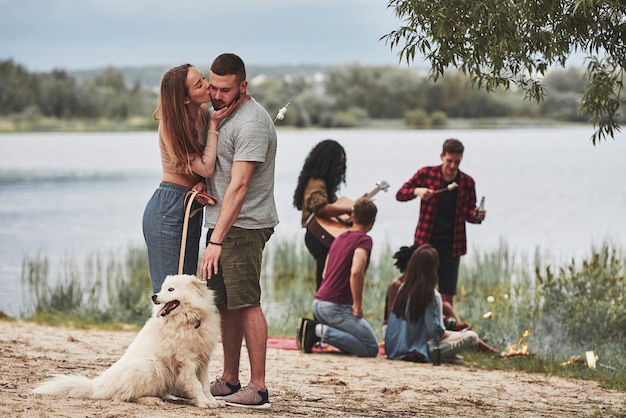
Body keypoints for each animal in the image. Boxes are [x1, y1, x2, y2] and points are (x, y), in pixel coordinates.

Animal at [32, 274, 222, 408]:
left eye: (171, 289)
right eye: (162, 289)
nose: (154, 296)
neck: (189, 321)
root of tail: (100, 384)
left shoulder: (203, 361)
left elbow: (205, 384)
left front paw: (213, 402)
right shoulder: (187, 363)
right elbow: (196, 385)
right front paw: (204, 403)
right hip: (151, 366)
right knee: (122, 396)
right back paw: (151, 400)